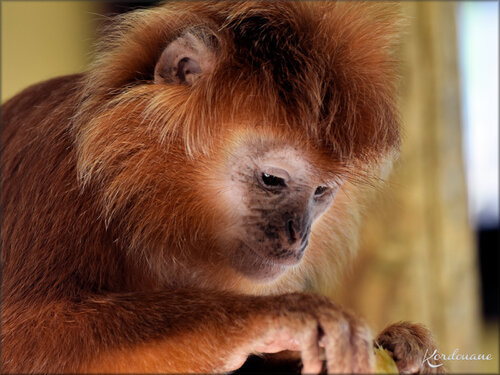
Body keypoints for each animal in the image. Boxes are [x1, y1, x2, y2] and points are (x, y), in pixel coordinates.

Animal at [1, 1, 444, 374]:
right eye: (272, 180)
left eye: (320, 192)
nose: (298, 237)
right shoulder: (53, 168)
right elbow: (20, 340)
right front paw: (275, 315)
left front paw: (406, 347)